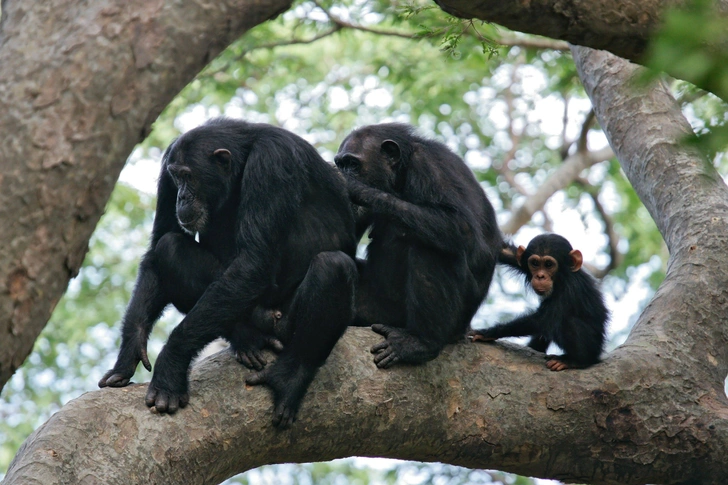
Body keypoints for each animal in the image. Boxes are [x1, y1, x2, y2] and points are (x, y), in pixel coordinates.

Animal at [96, 118, 358, 428]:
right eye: (177, 178)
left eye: (189, 176)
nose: (182, 196)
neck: (243, 159)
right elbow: (160, 240)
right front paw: (130, 349)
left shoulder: (273, 162)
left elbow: (253, 261)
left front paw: (170, 366)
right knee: (171, 248)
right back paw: (247, 338)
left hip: (284, 322)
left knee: (332, 267)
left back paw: (288, 379)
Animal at [334, 123, 500, 368]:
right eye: (341, 164)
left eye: (353, 164)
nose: (344, 173)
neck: (400, 175)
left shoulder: (429, 166)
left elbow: (461, 226)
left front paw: (353, 187)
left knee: (431, 247)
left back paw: (419, 343)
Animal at [466, 234, 608, 370]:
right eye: (534, 263)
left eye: (549, 264)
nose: (540, 276)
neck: (561, 278)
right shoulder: (523, 262)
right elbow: (506, 251)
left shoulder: (569, 290)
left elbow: (541, 319)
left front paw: (486, 333)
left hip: (592, 348)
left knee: (569, 322)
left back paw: (575, 361)